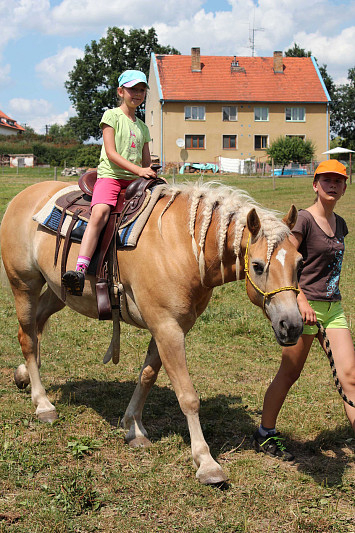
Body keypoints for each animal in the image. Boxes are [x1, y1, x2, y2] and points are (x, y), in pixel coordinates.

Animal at [2, 181, 304, 484]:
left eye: (300, 263)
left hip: (59, 291)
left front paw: (133, 427)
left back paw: (23, 375)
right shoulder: (167, 327)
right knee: (27, 337)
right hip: (24, 284)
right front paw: (206, 462)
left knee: (37, 324)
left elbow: (147, 375)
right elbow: (187, 396)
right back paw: (43, 404)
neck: (182, 246)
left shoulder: (172, 327)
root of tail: (26, 194)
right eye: (257, 265)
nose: (292, 326)